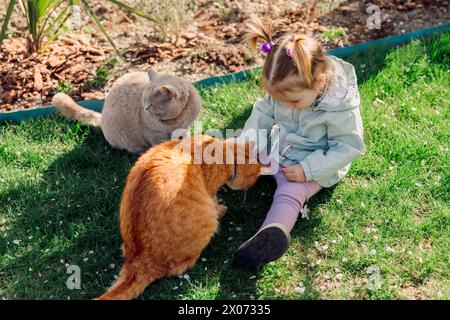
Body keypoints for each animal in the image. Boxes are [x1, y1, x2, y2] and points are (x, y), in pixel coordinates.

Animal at [51, 69, 201, 154]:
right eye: (144, 102)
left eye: (151, 105)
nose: (145, 108)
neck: (176, 121)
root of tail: (102, 118)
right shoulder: (154, 135)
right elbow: (164, 145)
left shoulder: (184, 127)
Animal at [95, 135, 264, 300]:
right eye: (253, 180)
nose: (250, 187)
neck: (224, 152)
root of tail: (140, 260)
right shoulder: (210, 192)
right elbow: (215, 203)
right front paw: (221, 210)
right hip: (206, 225)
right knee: (179, 267)